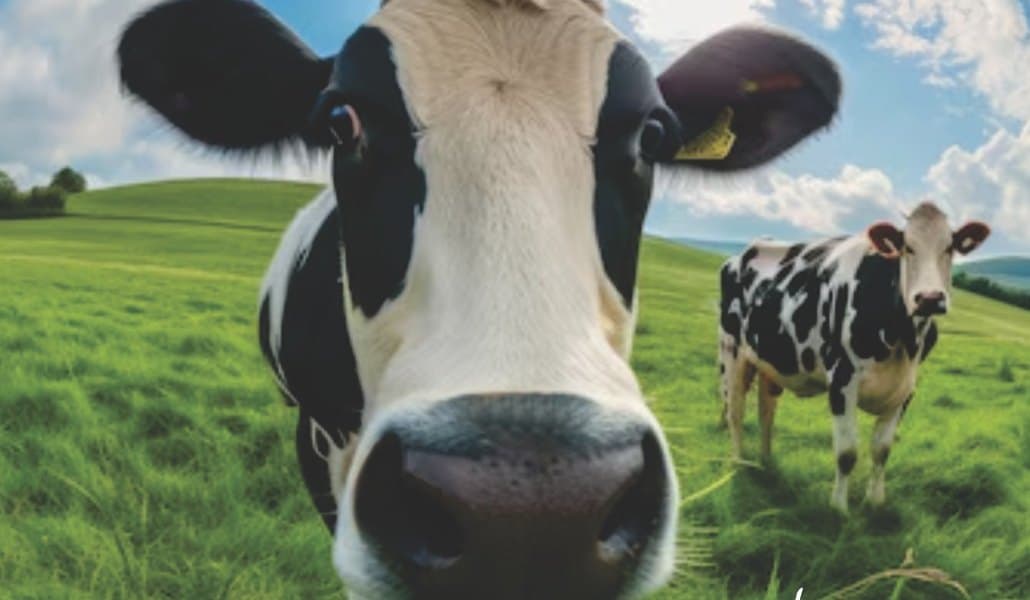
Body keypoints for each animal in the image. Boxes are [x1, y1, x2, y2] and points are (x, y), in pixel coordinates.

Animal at [719, 202, 991, 513]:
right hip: (731, 349)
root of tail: (743, 253)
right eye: (907, 247)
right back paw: (739, 462)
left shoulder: (906, 388)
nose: (930, 298)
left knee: (766, 412)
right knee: (735, 410)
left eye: (949, 248)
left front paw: (875, 501)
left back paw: (766, 461)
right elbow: (847, 452)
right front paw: (839, 508)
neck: (901, 338)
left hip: (770, 363)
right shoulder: (842, 381)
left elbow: (882, 450)